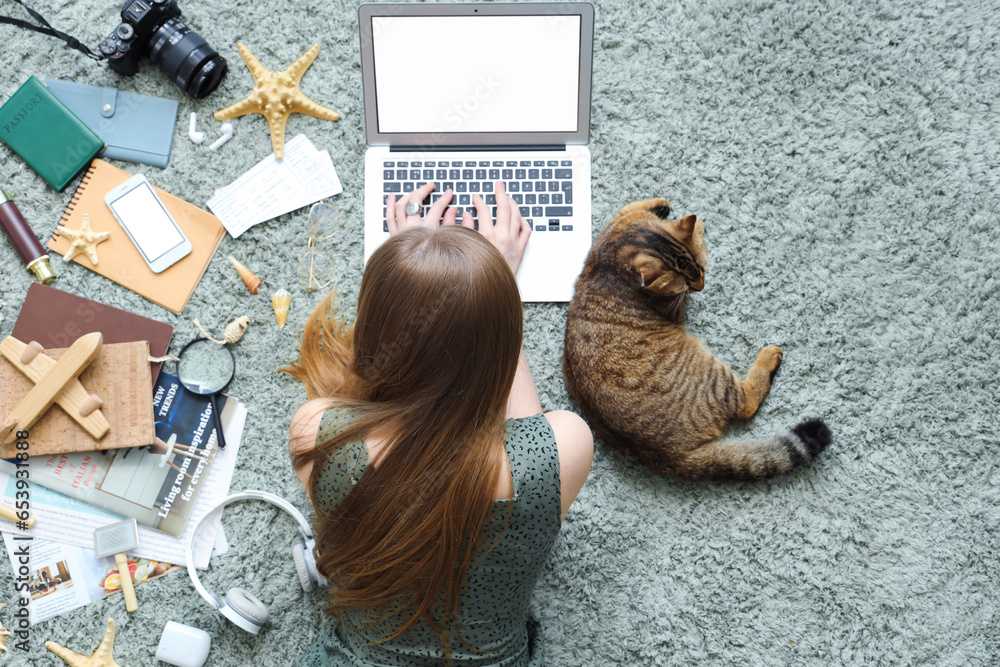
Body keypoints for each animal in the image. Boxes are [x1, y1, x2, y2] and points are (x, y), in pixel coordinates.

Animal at [564, 198, 828, 480]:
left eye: (702, 269)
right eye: (688, 286)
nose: (701, 286)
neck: (622, 248)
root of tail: (675, 457)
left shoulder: (612, 228)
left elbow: (631, 207)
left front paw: (665, 207)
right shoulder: (674, 310)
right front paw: (696, 224)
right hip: (712, 375)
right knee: (746, 403)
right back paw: (768, 357)